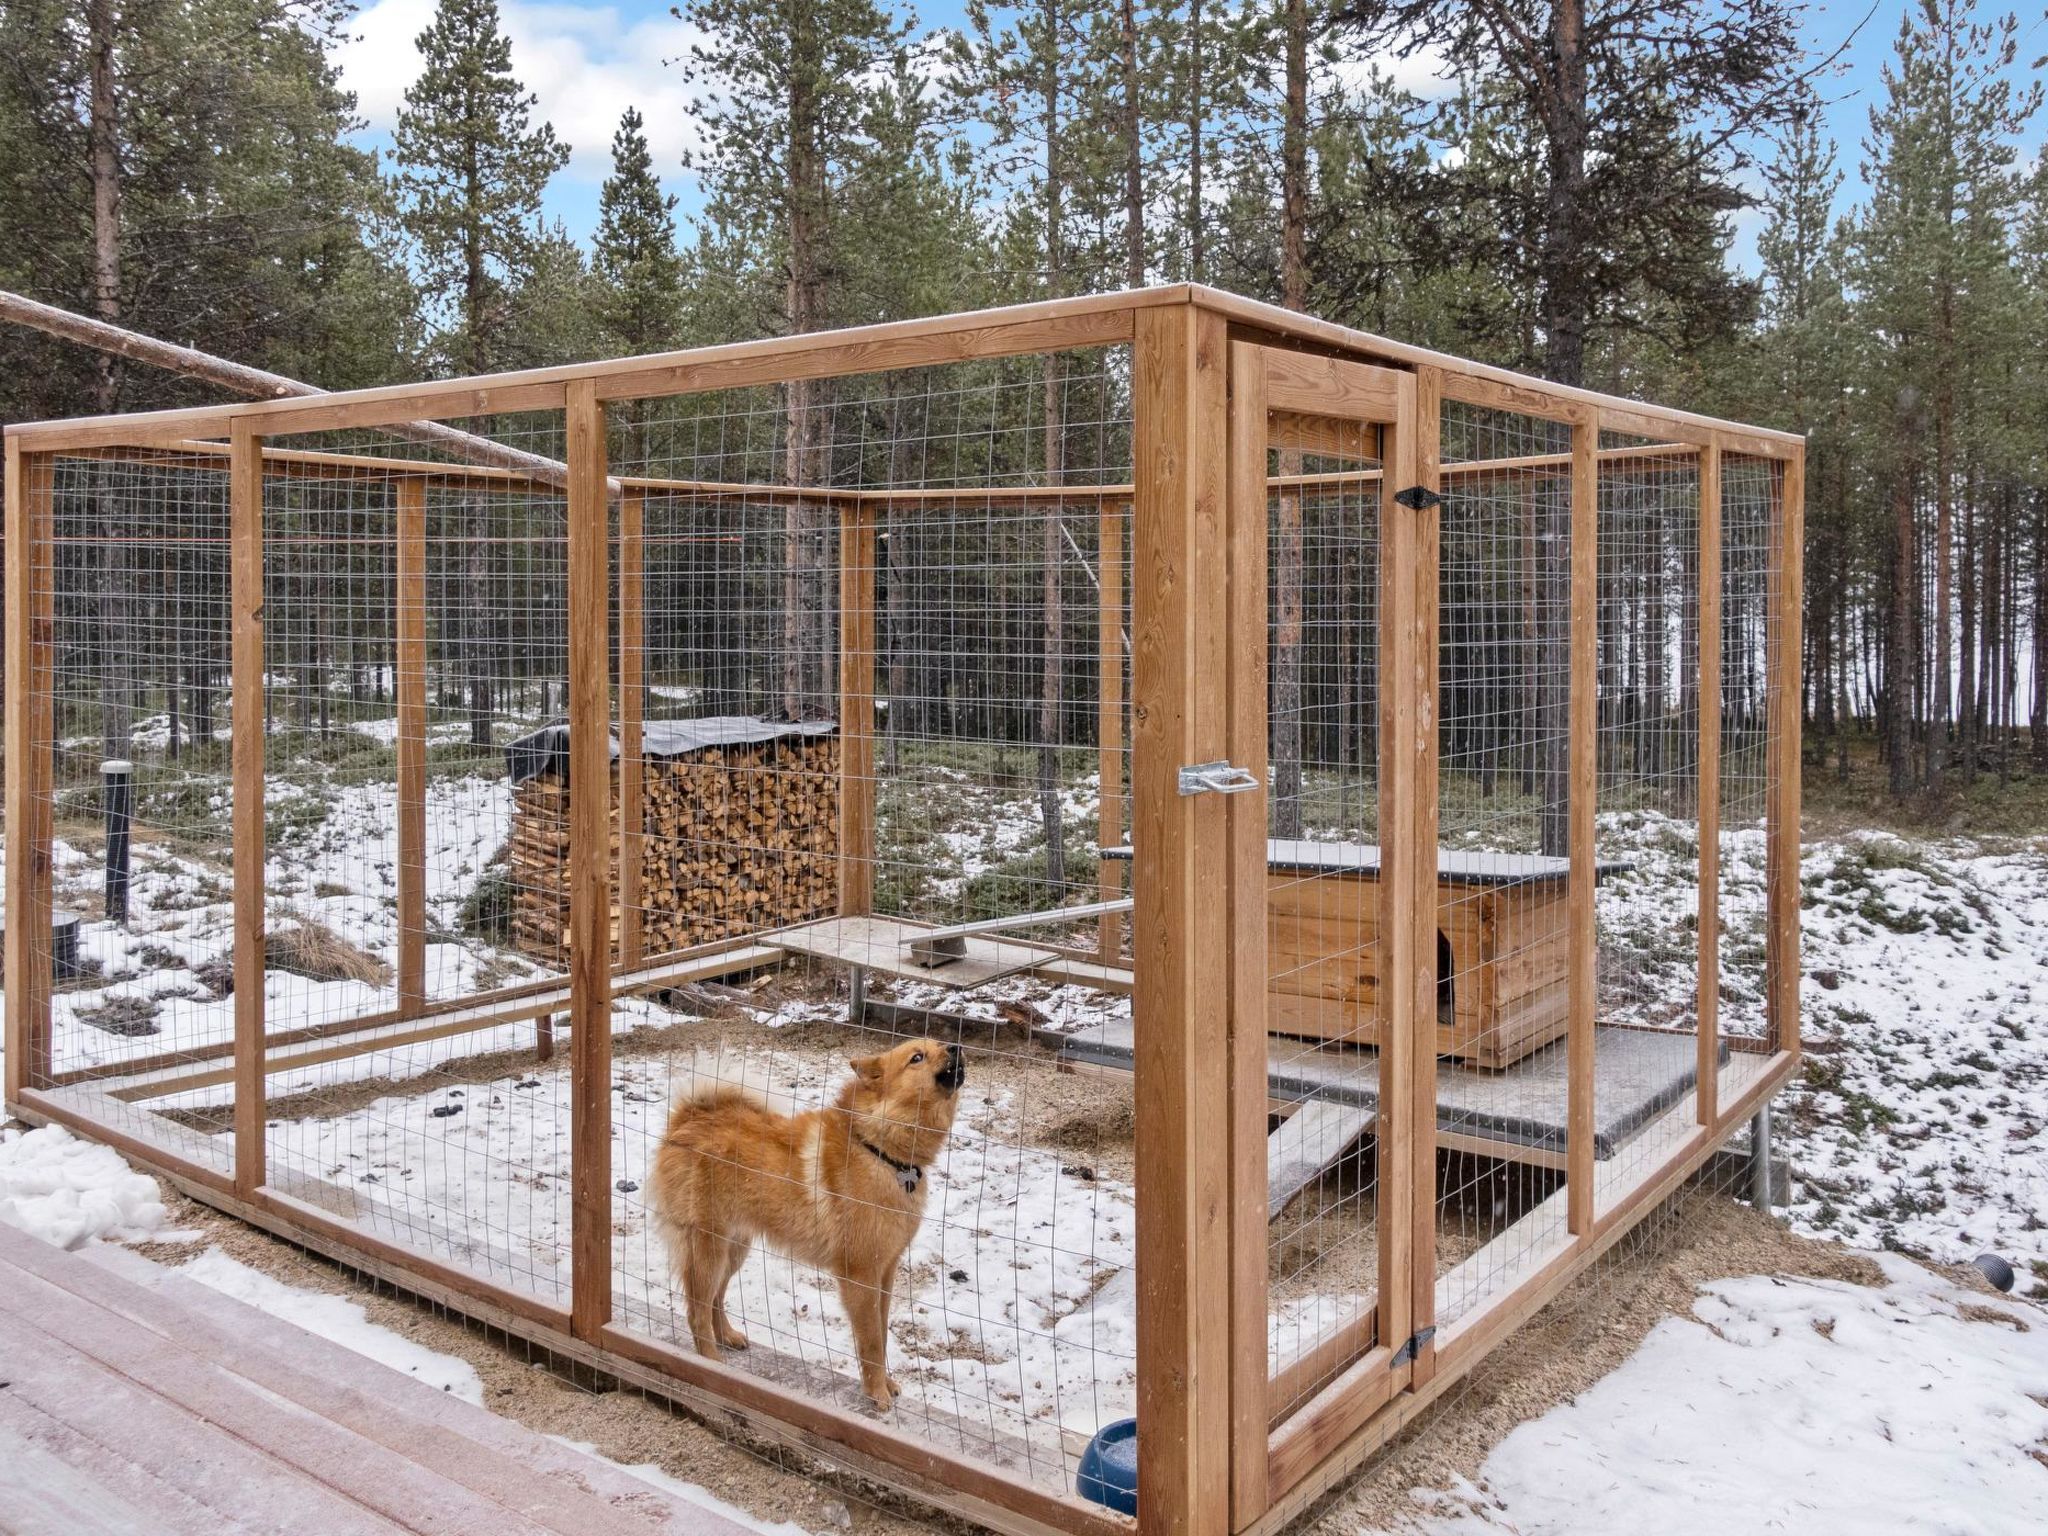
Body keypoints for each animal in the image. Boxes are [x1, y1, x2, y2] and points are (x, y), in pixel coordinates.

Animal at [647, 1040, 966, 1417]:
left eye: (938, 1045)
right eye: (917, 1057)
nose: (957, 1047)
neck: (878, 1149)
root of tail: (689, 1118)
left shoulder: (885, 1272)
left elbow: (883, 1335)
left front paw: (884, 1384)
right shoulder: (860, 1277)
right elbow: (871, 1342)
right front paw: (877, 1393)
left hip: (733, 1248)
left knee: (714, 1300)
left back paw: (727, 1337)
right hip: (709, 1249)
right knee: (696, 1311)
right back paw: (710, 1362)